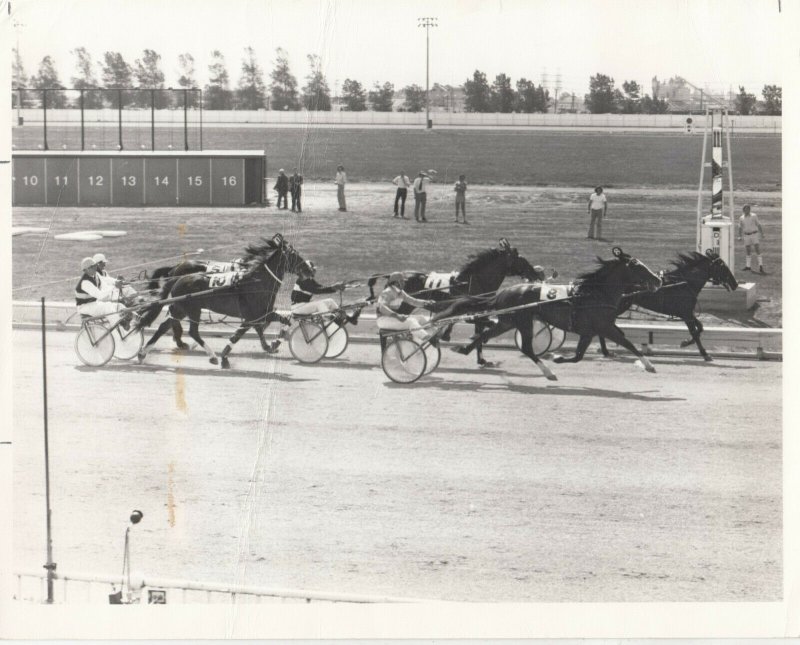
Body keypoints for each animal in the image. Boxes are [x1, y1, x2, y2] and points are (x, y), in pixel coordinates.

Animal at [136, 235, 310, 368]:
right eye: (294, 254)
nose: (310, 268)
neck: (256, 282)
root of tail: (176, 277)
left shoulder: (262, 314)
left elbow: (282, 321)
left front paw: (272, 345)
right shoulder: (252, 316)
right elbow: (237, 336)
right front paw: (225, 358)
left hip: (180, 308)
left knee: (165, 326)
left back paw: (144, 353)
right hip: (192, 309)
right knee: (192, 331)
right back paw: (212, 355)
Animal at [368, 238, 552, 368]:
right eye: (521, 260)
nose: (536, 274)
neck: (475, 281)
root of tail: (394, 275)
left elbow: (479, 329)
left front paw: (481, 359)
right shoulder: (474, 310)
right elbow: (480, 326)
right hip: (407, 304)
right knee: (390, 325)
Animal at [432, 245, 664, 378]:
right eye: (638, 267)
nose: (658, 280)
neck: (594, 294)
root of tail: (503, 292)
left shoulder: (589, 331)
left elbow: (579, 356)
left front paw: (559, 357)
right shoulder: (605, 327)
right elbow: (628, 343)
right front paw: (649, 365)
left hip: (509, 321)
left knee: (485, 335)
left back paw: (465, 349)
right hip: (523, 321)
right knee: (526, 347)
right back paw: (548, 372)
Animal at [596, 249, 740, 360]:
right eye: (723, 266)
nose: (735, 284)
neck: (684, 283)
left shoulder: (688, 313)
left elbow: (700, 328)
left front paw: (685, 343)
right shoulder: (686, 314)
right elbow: (694, 332)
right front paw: (705, 354)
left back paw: (607, 350)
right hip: (621, 306)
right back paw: (606, 351)